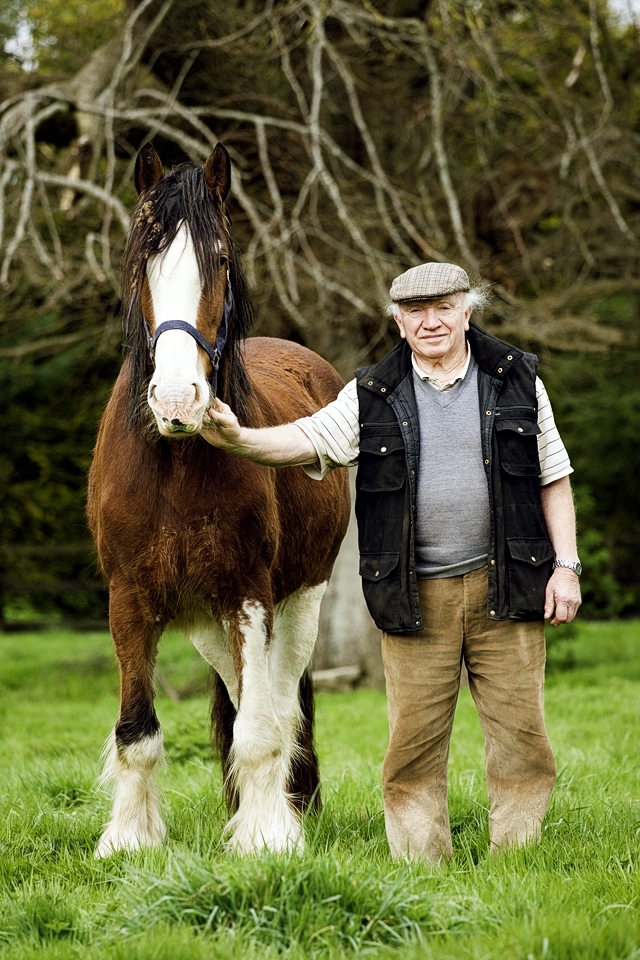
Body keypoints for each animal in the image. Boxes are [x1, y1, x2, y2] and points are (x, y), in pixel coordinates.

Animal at [87, 141, 350, 858]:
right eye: (141, 260)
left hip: (301, 600)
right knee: (241, 696)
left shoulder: (248, 595)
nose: (179, 400)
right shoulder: (130, 598)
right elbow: (138, 731)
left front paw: (266, 838)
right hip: (207, 622)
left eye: (222, 260)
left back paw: (290, 806)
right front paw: (130, 840)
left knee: (278, 706)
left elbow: (259, 727)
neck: (175, 463)